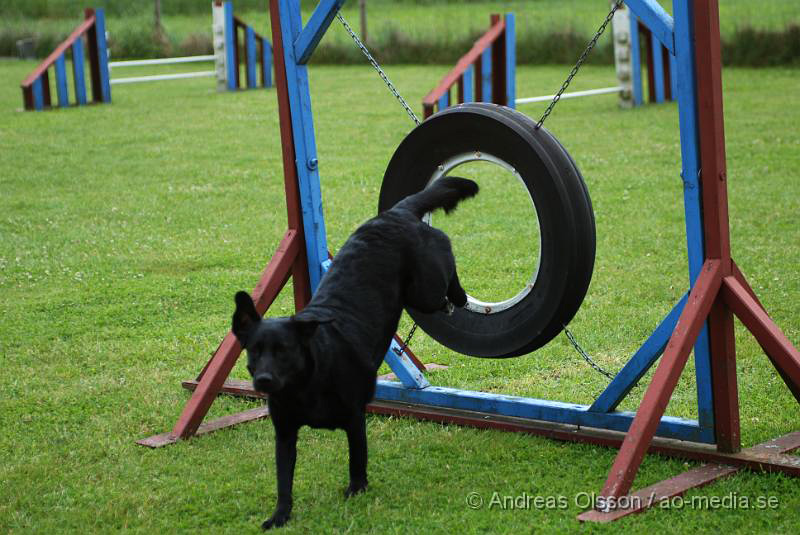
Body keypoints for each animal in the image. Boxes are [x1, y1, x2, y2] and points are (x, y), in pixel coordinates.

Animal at [234, 178, 478, 528]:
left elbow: (356, 458)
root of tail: (396, 212)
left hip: (426, 289)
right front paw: (279, 516)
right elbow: (284, 480)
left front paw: (356, 489)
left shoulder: (353, 417)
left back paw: (457, 297)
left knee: (448, 274)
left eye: (284, 351)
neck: (306, 384)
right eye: (254, 352)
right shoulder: (284, 433)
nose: (264, 381)